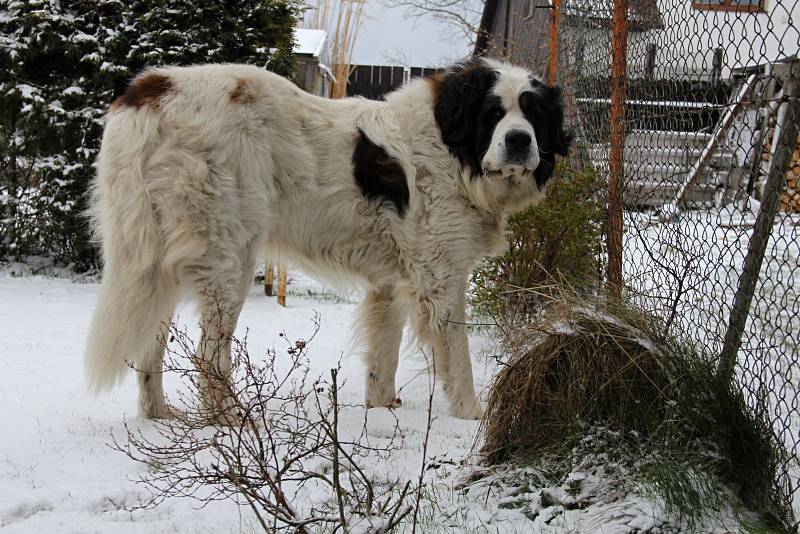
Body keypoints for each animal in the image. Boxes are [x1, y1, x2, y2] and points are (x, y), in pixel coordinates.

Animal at [84, 57, 572, 418]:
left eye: (533, 114)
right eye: (494, 113)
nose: (519, 141)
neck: (453, 149)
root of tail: (152, 89)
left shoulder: (391, 281)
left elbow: (384, 354)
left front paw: (382, 411)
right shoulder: (440, 279)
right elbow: (458, 358)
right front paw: (472, 417)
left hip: (157, 260)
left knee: (151, 345)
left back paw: (159, 416)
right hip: (229, 259)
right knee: (209, 354)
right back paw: (229, 420)